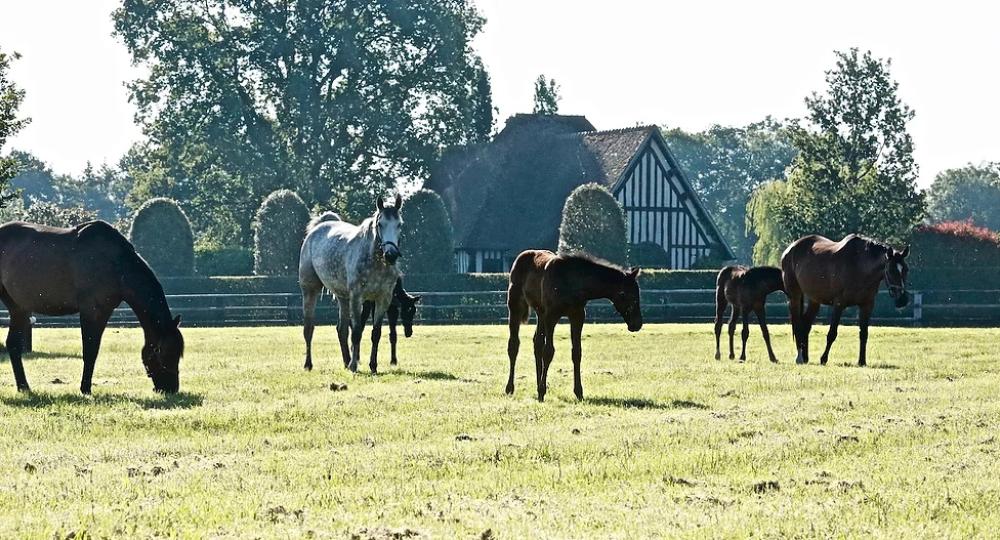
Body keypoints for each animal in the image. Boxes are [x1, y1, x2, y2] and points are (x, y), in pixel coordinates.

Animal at [0, 221, 184, 394]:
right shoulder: (91, 311)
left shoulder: (104, 311)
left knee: (13, 344)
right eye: (163, 353)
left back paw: (24, 387)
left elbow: (93, 351)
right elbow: (90, 351)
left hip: (19, 308)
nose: (171, 388)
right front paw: (85, 389)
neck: (116, 264)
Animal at [296, 196, 402, 374]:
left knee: (342, 330)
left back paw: (346, 362)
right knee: (309, 328)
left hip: (343, 297)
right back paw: (308, 364)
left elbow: (376, 333)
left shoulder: (383, 299)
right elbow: (357, 331)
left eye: (399, 224)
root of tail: (316, 229)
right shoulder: (357, 297)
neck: (375, 261)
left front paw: (373, 366)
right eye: (380, 224)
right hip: (310, 291)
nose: (391, 255)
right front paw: (354, 365)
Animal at [508, 250, 640, 400]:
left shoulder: (577, 315)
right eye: (628, 295)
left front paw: (578, 392)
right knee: (514, 344)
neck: (573, 282)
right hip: (515, 303)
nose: (637, 324)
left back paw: (537, 385)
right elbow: (548, 351)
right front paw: (542, 392)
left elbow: (576, 352)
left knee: (537, 343)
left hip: (540, 312)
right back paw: (510, 388)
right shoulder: (551, 315)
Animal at [780, 234, 916, 364]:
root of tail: (790, 249)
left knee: (805, 324)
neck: (859, 266)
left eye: (906, 269)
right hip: (795, 296)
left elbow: (864, 334)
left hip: (815, 300)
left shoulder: (867, 306)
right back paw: (799, 358)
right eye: (891, 270)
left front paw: (862, 361)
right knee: (797, 325)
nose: (903, 300)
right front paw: (823, 359)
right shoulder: (839, 304)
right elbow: (832, 333)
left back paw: (805, 357)